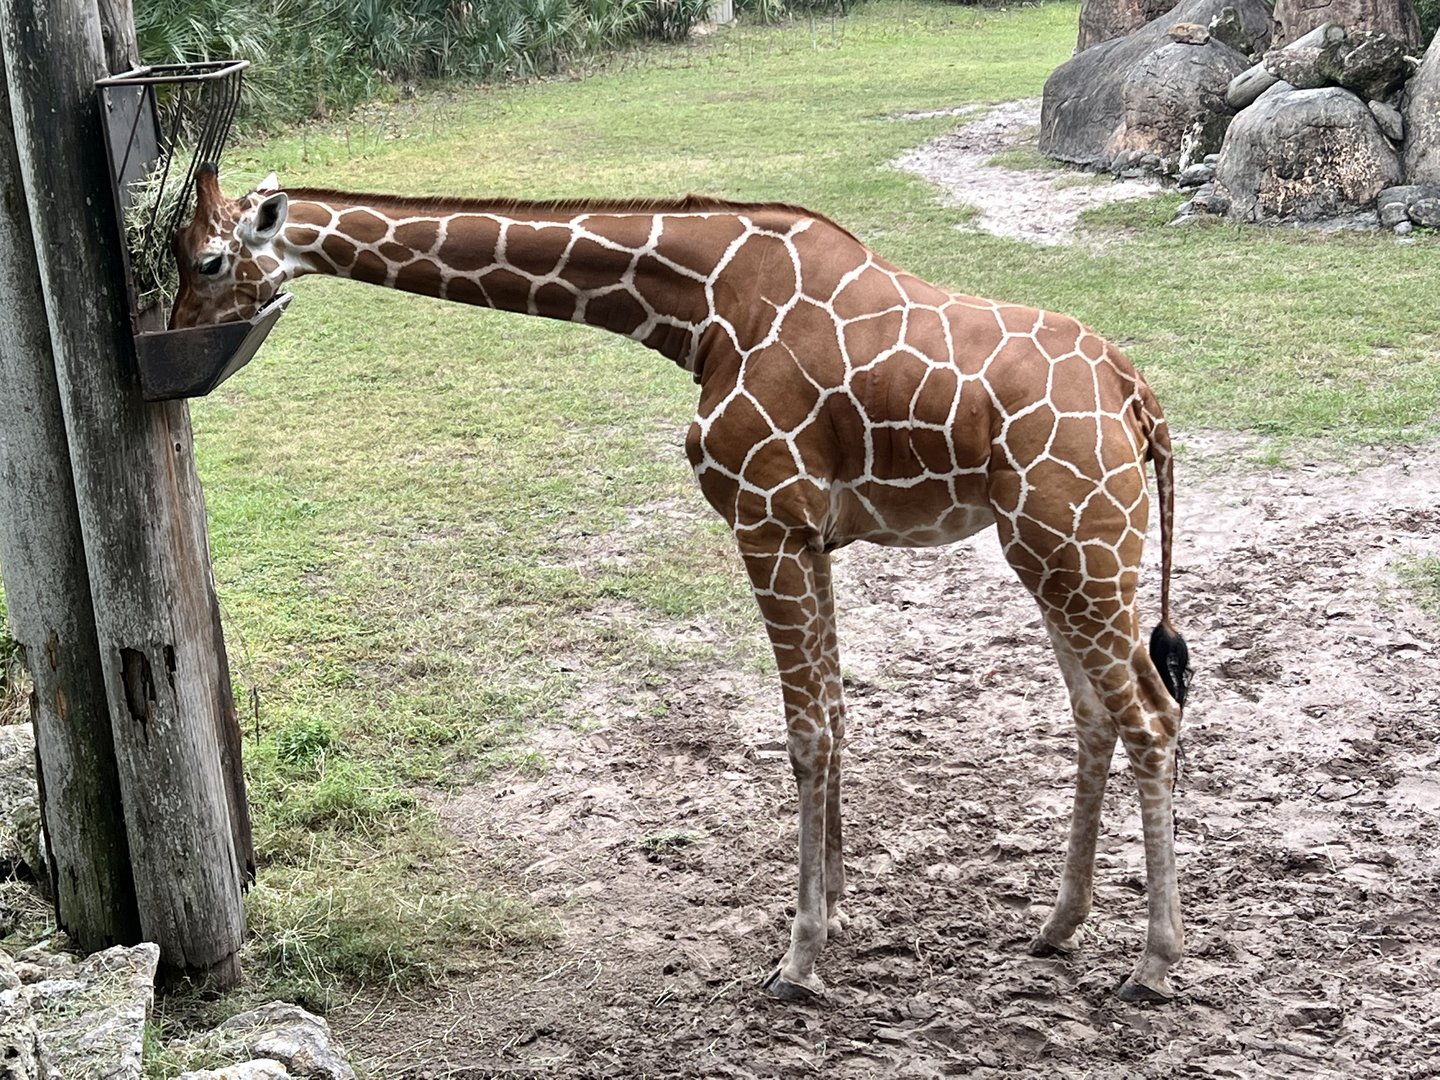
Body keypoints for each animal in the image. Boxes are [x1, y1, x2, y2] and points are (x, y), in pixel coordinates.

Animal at [171, 165, 1192, 1003]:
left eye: (210, 259)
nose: (176, 342)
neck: (698, 306)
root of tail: (1138, 394)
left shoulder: (765, 519)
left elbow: (806, 734)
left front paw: (798, 961)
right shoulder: (812, 534)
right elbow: (837, 715)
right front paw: (839, 917)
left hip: (1077, 544)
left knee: (1150, 716)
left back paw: (1152, 965)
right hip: (1052, 551)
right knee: (1096, 713)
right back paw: (1057, 929)